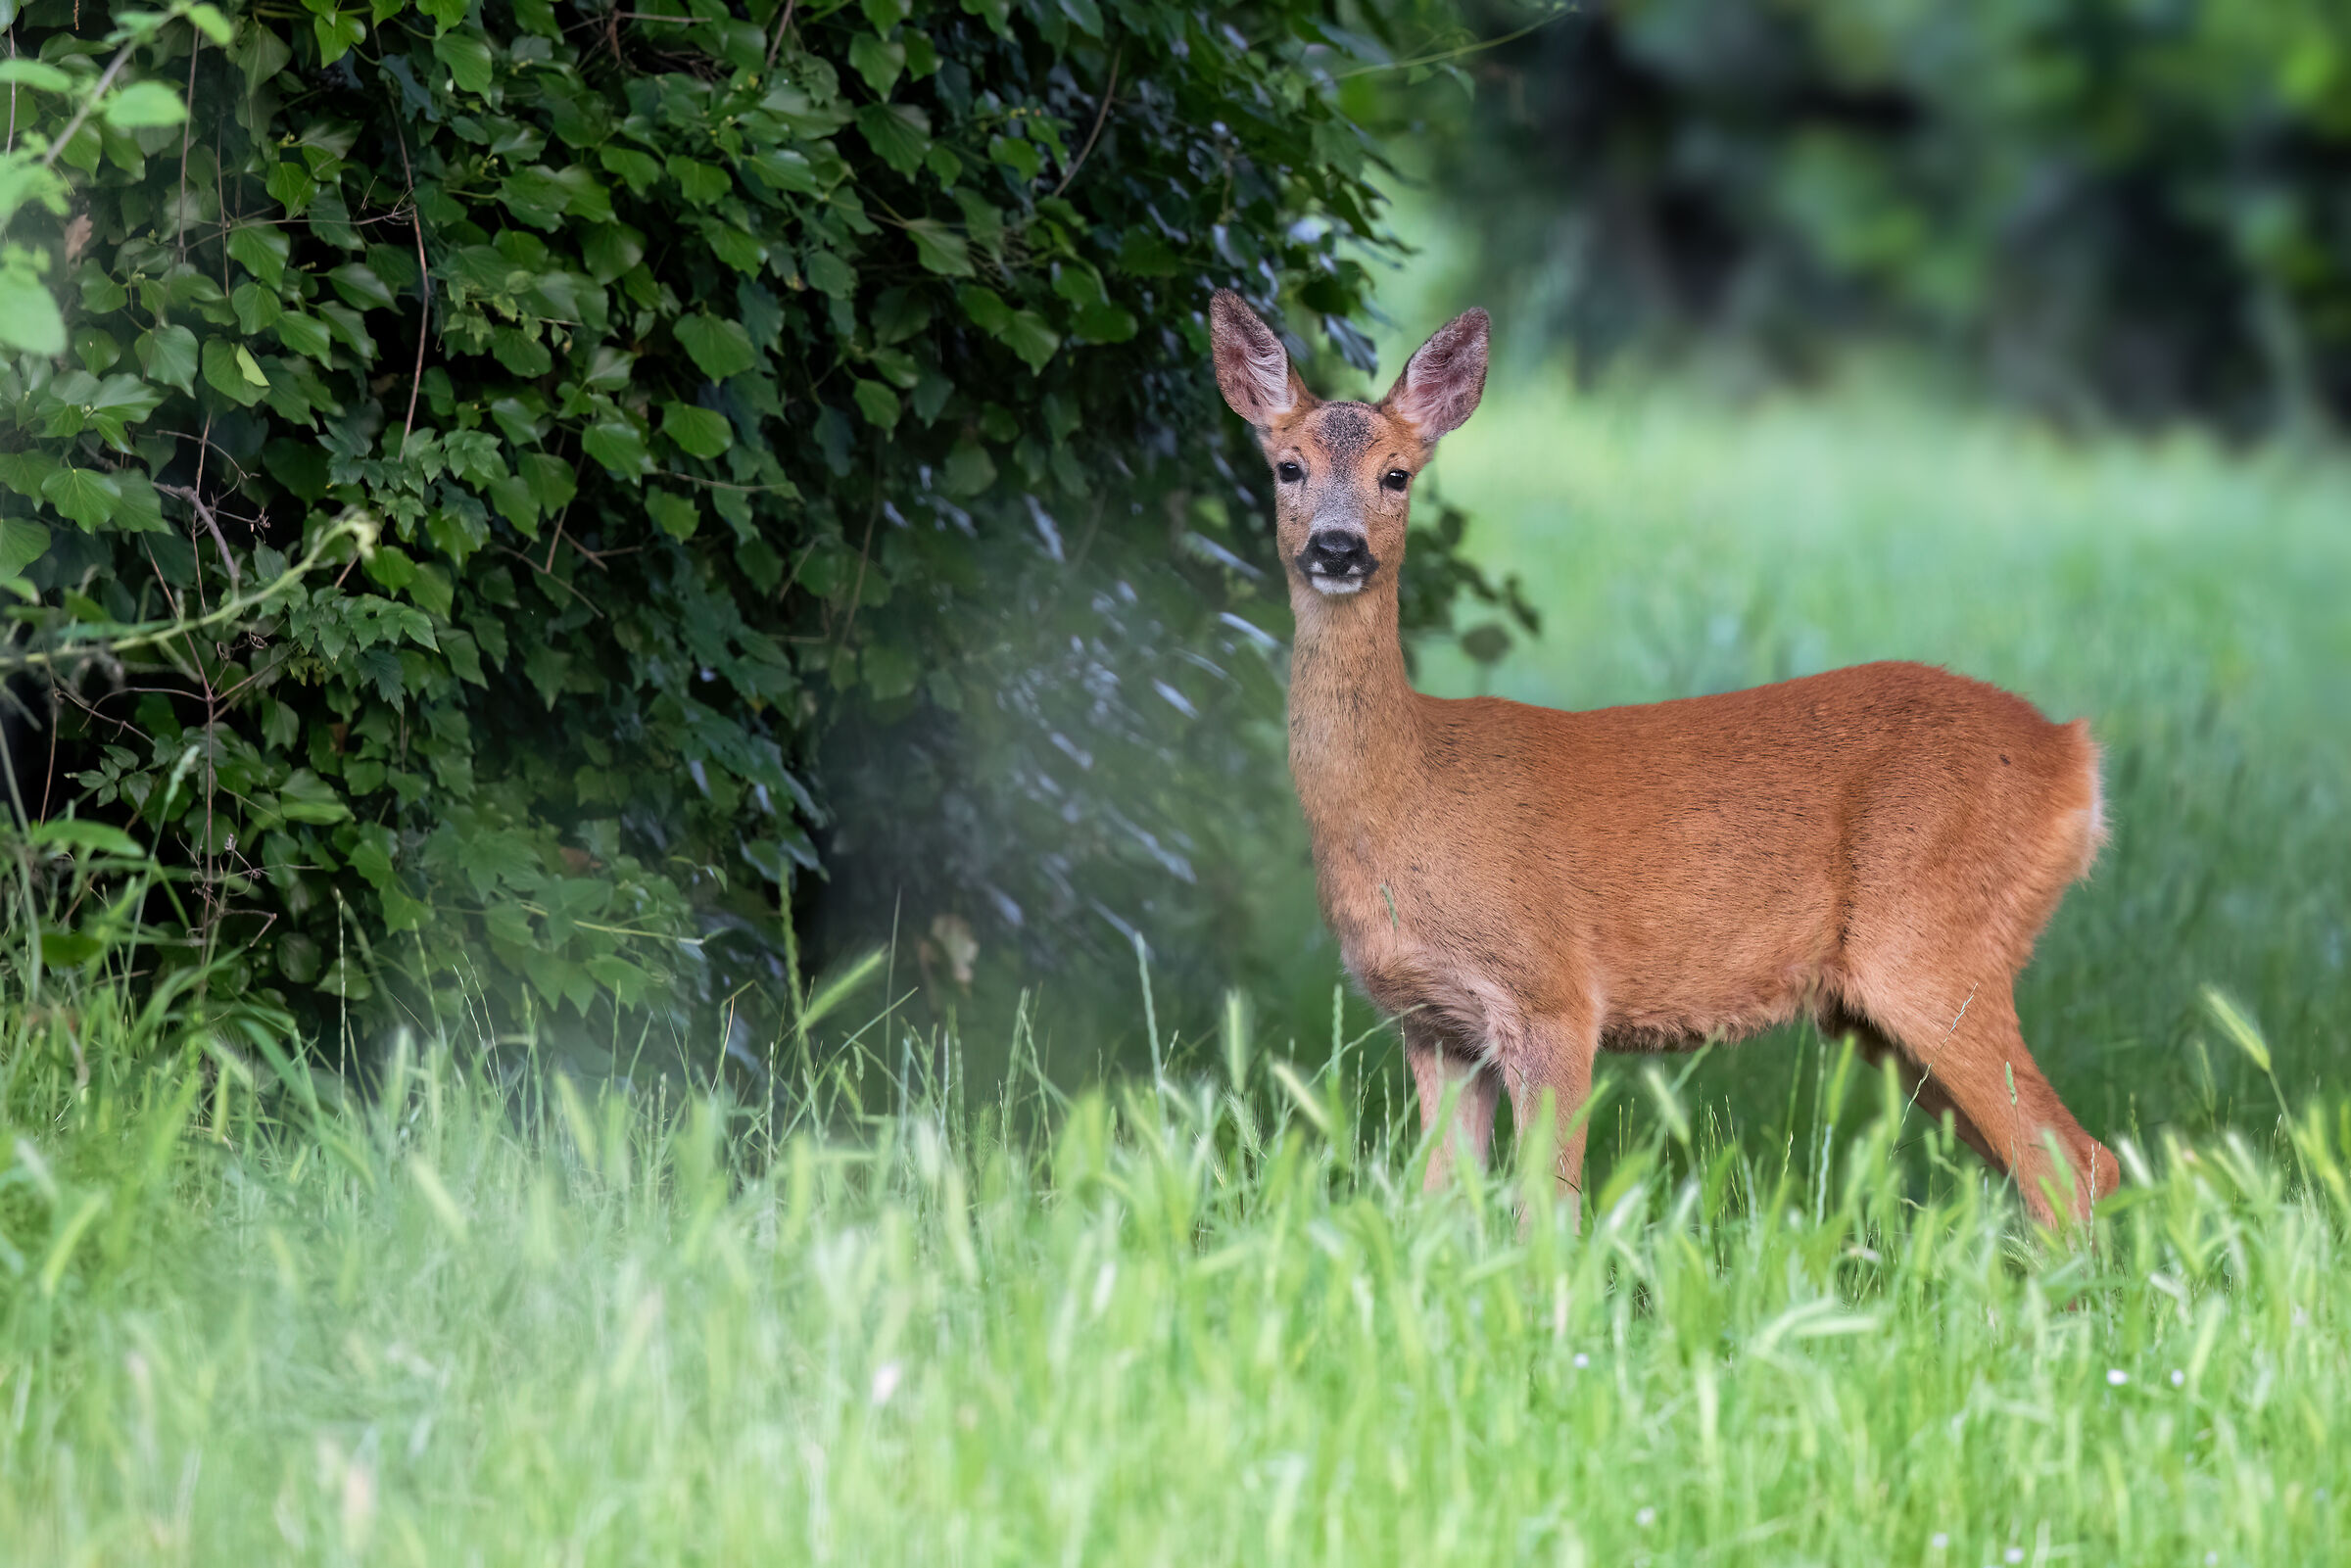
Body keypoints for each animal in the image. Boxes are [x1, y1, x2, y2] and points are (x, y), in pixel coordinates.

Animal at [1208, 290, 2120, 1227]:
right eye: (1287, 467)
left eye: (1397, 475)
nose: (1338, 548)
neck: (1403, 792)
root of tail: (2074, 759)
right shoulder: (1432, 1022)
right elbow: (1439, 1209)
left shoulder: (1554, 994)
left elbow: (1548, 1208)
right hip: (1878, 1008)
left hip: (1934, 946)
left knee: (2077, 1163)